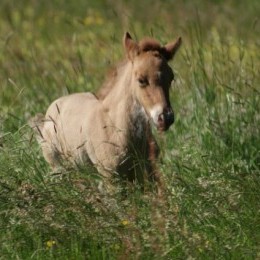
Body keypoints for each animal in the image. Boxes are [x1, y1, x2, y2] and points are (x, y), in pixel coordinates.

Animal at [32, 33, 181, 189]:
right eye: (141, 80)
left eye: (171, 77)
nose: (165, 118)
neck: (115, 128)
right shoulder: (111, 177)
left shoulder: (146, 171)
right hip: (59, 168)